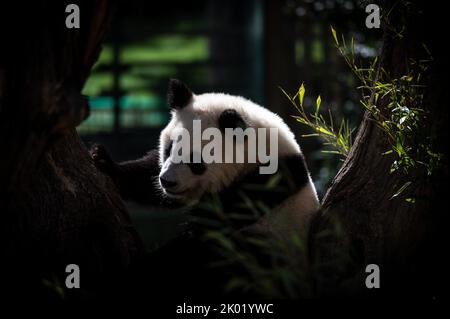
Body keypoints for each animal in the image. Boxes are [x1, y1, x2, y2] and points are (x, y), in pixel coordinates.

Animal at [92, 79, 320, 239]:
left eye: (195, 161)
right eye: (169, 149)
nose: (166, 181)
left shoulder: (264, 185)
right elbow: (147, 178)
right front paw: (102, 160)